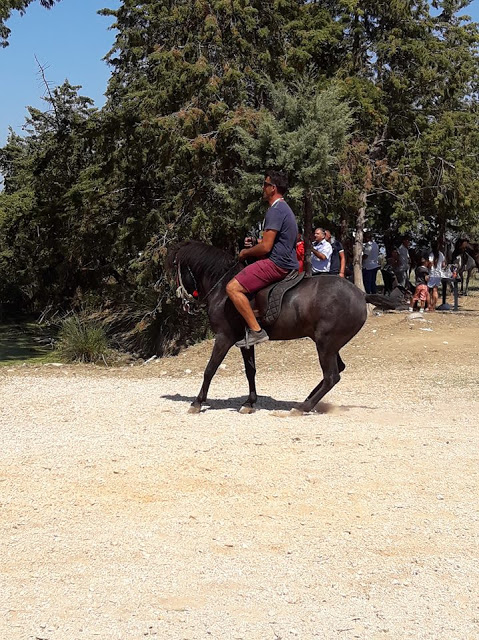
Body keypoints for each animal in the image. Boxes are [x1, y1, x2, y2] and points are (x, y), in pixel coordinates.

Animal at [169, 241, 394, 416]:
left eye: (175, 268)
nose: (181, 300)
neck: (223, 290)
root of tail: (361, 294)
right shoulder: (245, 341)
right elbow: (250, 371)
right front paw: (249, 403)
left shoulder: (224, 337)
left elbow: (210, 369)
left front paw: (197, 402)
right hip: (329, 344)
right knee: (336, 370)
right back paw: (307, 400)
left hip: (326, 344)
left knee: (332, 376)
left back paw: (302, 407)